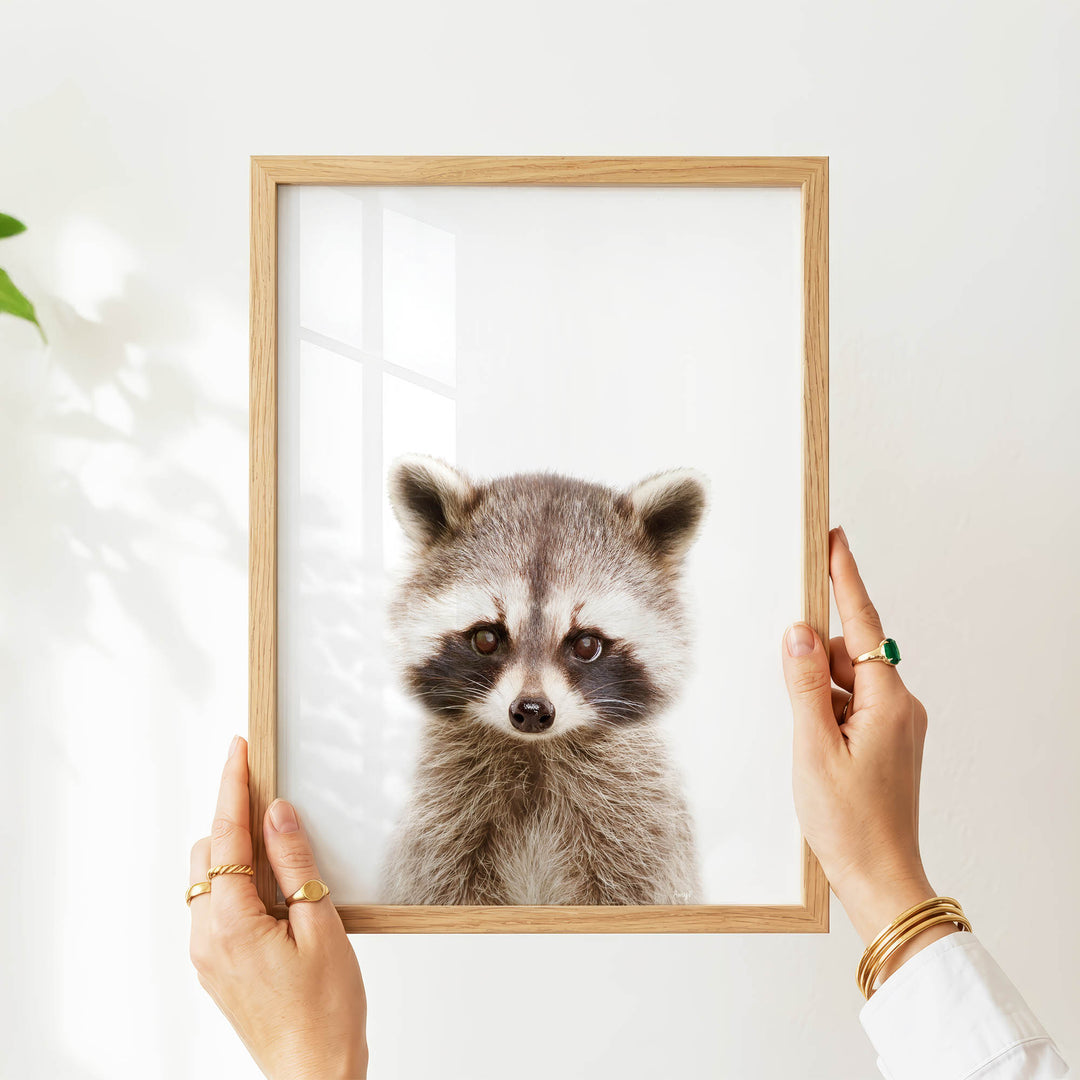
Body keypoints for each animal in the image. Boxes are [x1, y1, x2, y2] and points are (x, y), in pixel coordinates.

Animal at [380, 455, 707, 906]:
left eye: (586, 644)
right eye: (486, 638)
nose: (532, 711)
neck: (535, 752)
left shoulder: (640, 829)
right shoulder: (441, 826)